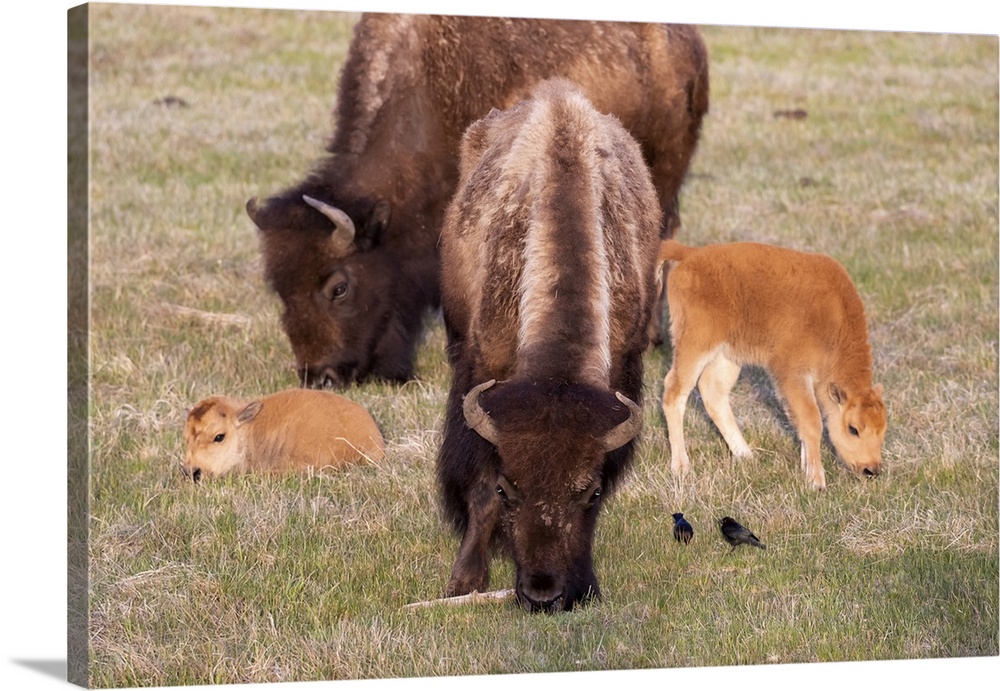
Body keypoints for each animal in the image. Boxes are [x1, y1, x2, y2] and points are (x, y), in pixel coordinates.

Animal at [434, 78, 660, 612]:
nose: (543, 592)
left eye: (588, 493)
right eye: (507, 489)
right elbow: (476, 488)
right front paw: (464, 580)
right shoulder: (482, 376)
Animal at [660, 241, 888, 490]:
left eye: (883, 429)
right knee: (674, 392)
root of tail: (691, 254)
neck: (835, 322)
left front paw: (806, 468)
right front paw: (816, 481)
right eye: (853, 429)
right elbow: (812, 420)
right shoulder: (792, 374)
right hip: (695, 344)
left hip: (728, 356)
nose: (871, 469)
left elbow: (800, 422)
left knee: (713, 394)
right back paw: (681, 467)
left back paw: (746, 455)